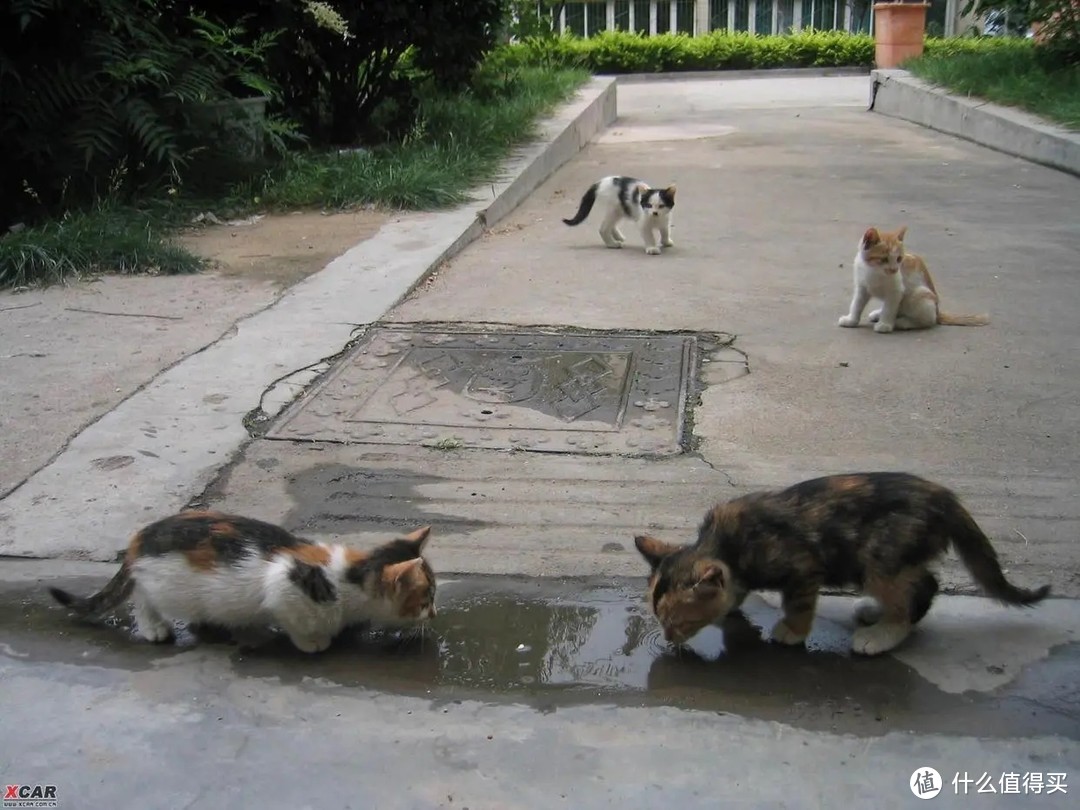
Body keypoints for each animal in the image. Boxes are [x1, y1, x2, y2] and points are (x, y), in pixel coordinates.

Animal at [838, 225, 989, 332]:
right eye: (884, 259)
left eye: (899, 259)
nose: (894, 270)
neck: (873, 271)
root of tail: (937, 311)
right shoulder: (862, 288)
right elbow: (857, 304)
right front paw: (851, 320)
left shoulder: (896, 291)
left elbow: (889, 308)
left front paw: (885, 325)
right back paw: (878, 314)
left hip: (920, 294)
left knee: (928, 321)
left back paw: (901, 322)